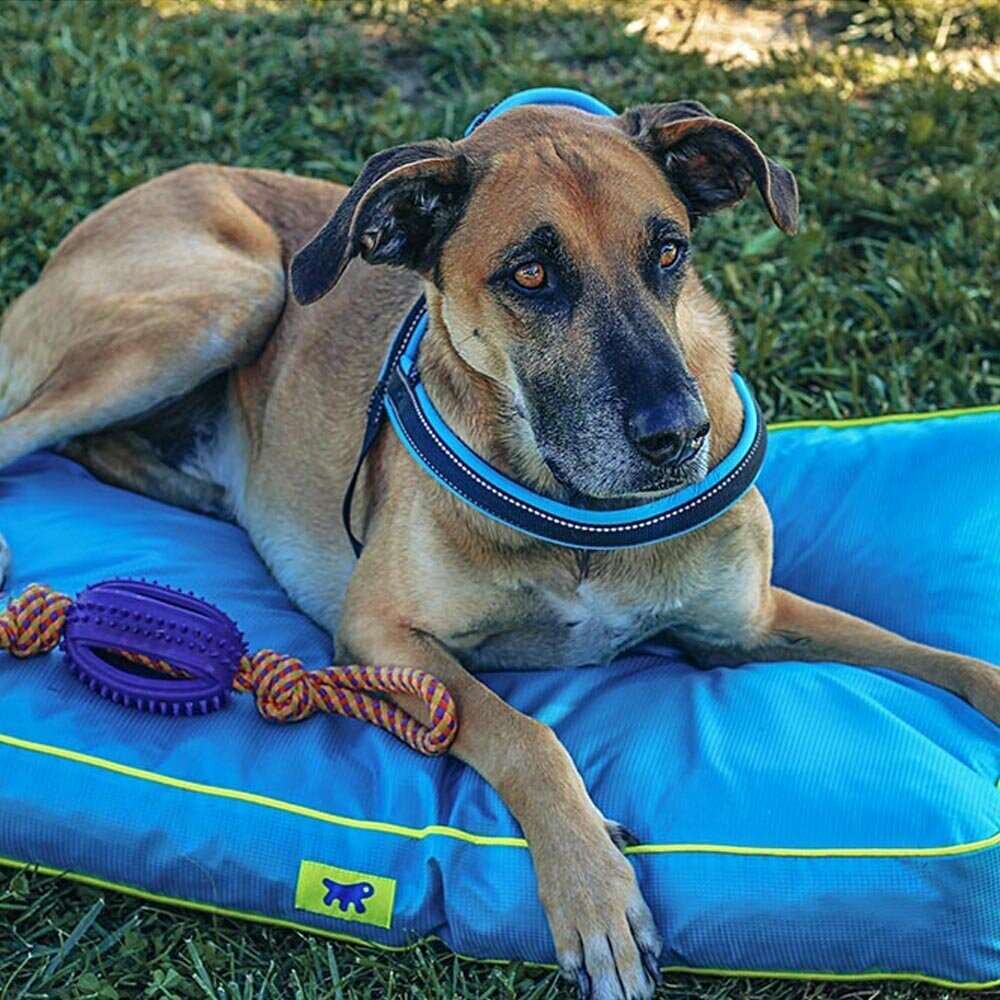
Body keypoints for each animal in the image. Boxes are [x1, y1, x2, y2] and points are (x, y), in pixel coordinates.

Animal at [1, 103, 1000, 1000]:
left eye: (669, 251)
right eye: (530, 274)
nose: (679, 436)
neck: (586, 517)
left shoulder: (749, 625)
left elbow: (940, 657)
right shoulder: (381, 636)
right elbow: (525, 733)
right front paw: (596, 893)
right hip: (229, 299)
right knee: (25, 429)